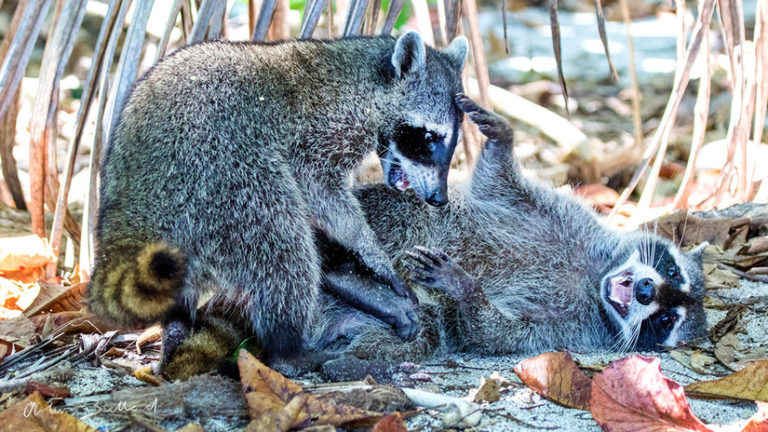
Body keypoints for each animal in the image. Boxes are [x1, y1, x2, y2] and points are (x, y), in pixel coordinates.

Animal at [85, 32, 468, 366]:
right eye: (429, 137)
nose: (439, 198)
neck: (367, 80)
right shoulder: (321, 129)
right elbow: (319, 190)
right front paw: (370, 249)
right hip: (219, 181)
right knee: (284, 246)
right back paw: (289, 349)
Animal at [314, 96, 708, 362]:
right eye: (671, 269)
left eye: (666, 320)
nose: (645, 289)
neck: (594, 278)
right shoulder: (565, 215)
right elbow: (499, 183)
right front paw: (504, 137)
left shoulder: (568, 331)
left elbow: (493, 332)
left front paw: (466, 288)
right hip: (398, 213)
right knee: (398, 213)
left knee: (426, 326)